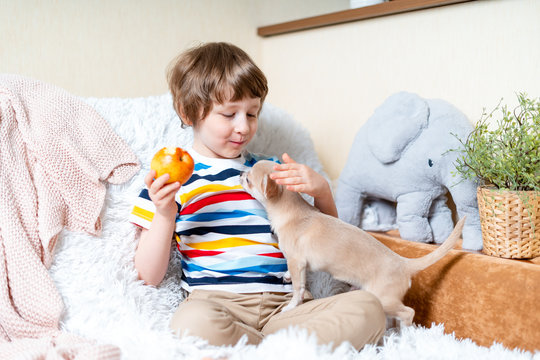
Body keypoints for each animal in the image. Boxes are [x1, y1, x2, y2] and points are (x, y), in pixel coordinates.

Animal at [239, 160, 464, 326]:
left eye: (248, 179)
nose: (240, 173)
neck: (292, 211)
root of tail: (403, 263)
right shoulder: (298, 264)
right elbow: (293, 276)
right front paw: (285, 276)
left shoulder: (297, 261)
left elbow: (298, 288)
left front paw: (291, 305)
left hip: (384, 298)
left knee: (408, 313)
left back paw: (405, 335)